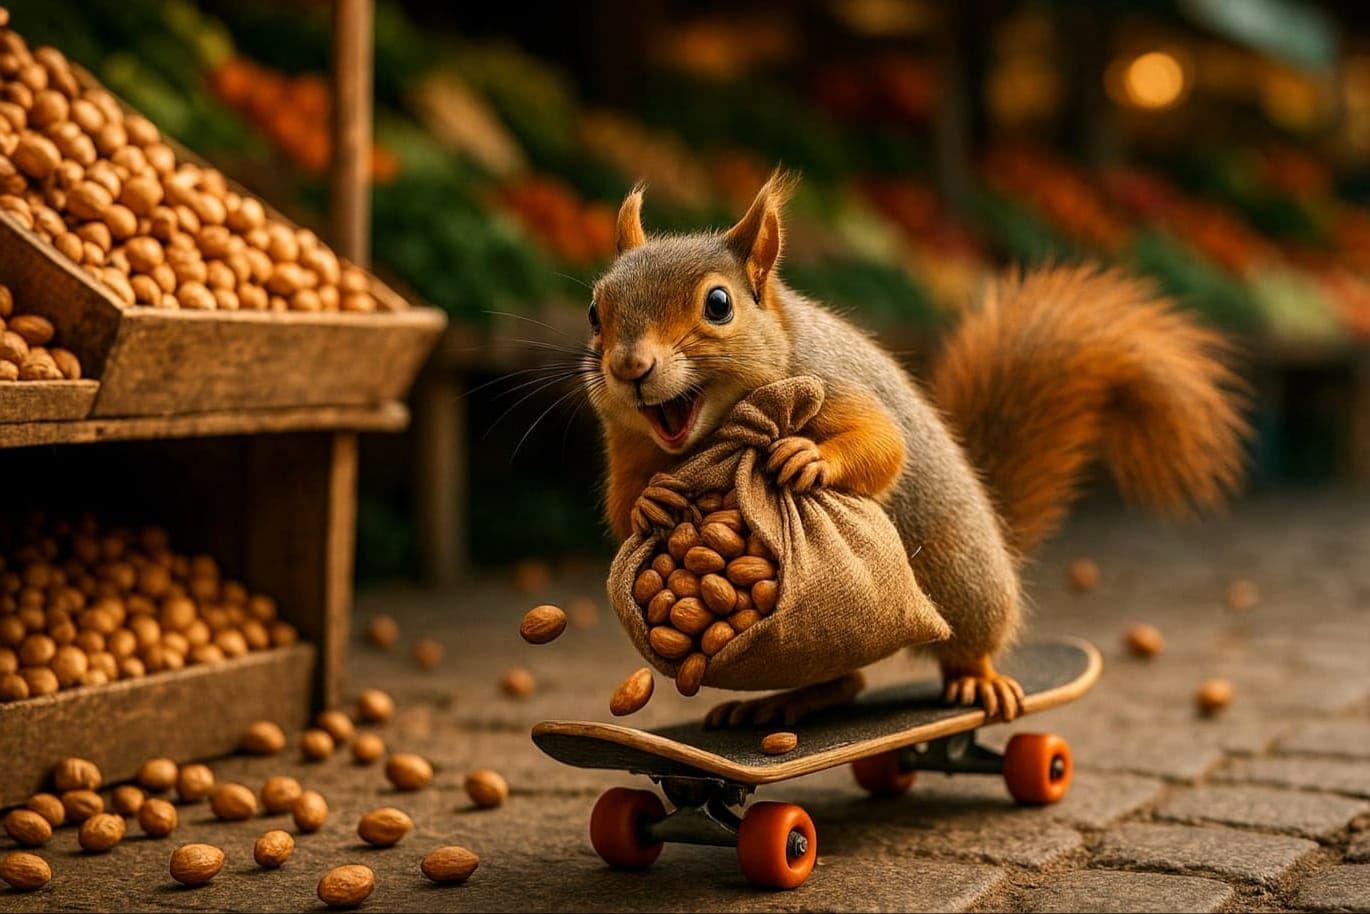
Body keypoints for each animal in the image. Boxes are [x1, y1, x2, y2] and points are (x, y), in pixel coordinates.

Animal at [585, 170, 1248, 724]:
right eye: (595, 310)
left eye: (718, 304)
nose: (629, 367)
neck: (715, 427)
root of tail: (997, 531)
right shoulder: (627, 443)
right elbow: (620, 505)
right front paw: (649, 504)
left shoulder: (833, 382)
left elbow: (884, 445)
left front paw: (810, 458)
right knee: (844, 679)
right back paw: (782, 703)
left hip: (964, 583)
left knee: (966, 644)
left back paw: (976, 679)